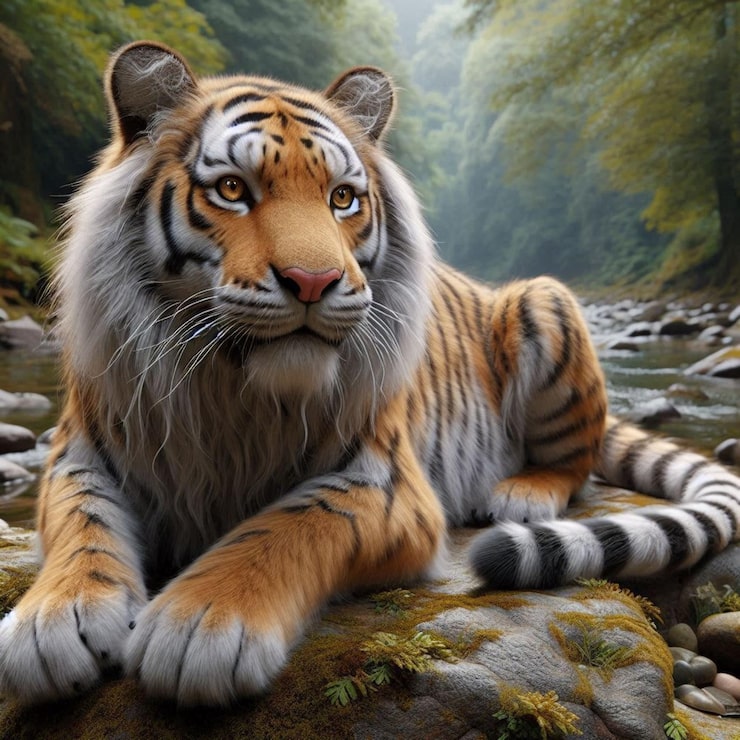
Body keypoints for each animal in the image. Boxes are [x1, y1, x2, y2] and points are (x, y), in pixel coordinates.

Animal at [0, 40, 737, 707]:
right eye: (234, 190)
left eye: (343, 198)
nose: (314, 281)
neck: (233, 392)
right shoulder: (83, 450)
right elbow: (82, 523)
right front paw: (54, 621)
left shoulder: (383, 481)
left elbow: (288, 525)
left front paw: (200, 624)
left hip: (543, 298)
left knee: (574, 461)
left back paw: (522, 492)